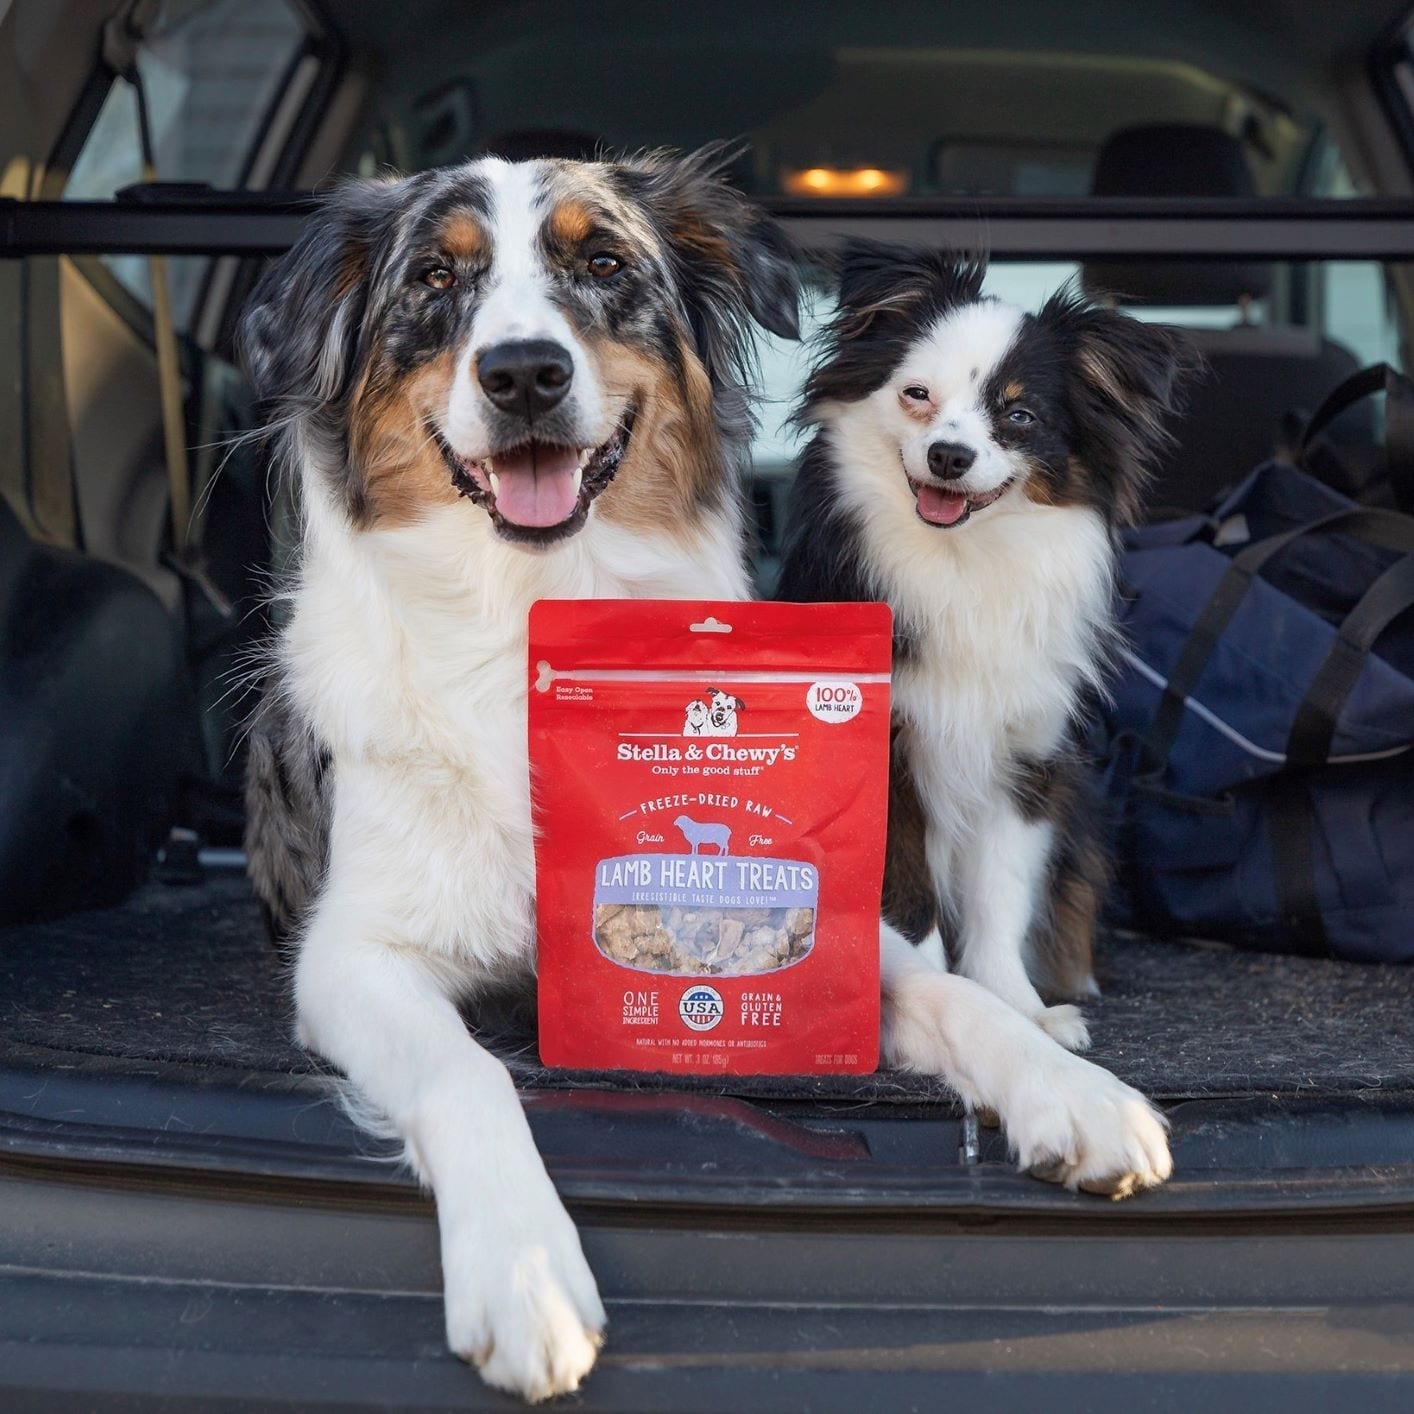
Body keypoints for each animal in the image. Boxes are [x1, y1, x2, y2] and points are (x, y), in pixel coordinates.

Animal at [780, 240, 1187, 1170]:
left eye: (1020, 418)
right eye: (916, 395)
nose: (949, 458)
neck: (964, 560)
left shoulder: (1025, 757)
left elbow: (1002, 891)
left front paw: (1021, 1009)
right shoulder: (891, 760)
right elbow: (910, 900)